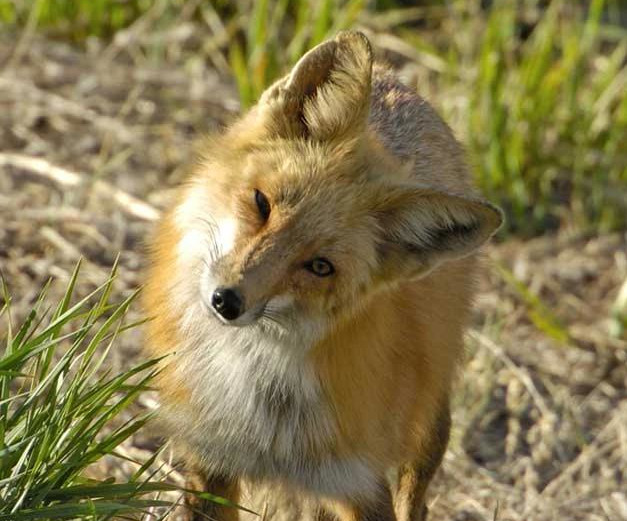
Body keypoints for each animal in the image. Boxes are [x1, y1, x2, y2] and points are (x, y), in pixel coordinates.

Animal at [145, 29, 502, 520]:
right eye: (262, 203)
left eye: (319, 266)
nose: (227, 300)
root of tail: (394, 80)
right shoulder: (208, 461)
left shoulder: (358, 483)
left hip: (428, 424)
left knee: (417, 497)